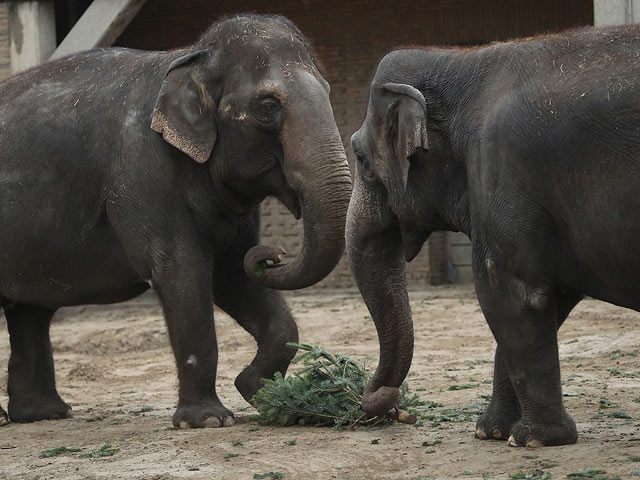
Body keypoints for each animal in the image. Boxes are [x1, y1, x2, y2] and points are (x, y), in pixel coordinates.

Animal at [0, 14, 352, 428]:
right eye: (267, 107)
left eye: (328, 91)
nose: (273, 254)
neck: (190, 56)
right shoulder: (143, 177)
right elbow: (183, 275)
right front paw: (209, 421)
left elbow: (234, 274)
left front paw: (258, 391)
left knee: (29, 310)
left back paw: (44, 414)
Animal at [348, 25, 640, 446]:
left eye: (360, 157)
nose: (390, 403)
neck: (460, 61)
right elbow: (546, 298)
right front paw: (492, 431)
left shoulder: (502, 166)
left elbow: (506, 291)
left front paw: (534, 438)